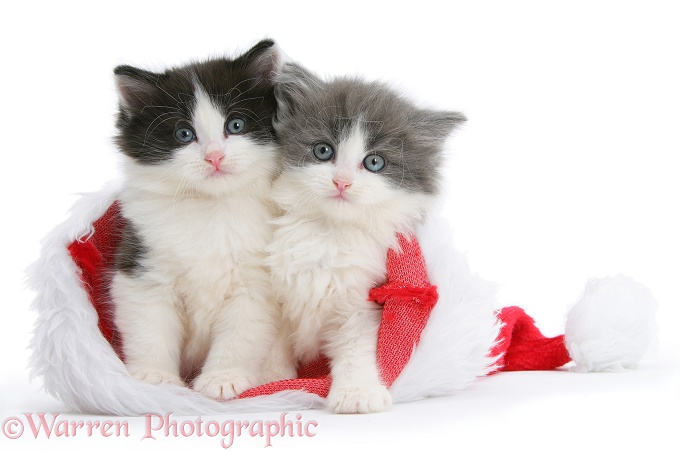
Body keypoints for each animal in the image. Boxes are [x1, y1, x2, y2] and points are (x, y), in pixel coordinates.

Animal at [111, 38, 292, 400]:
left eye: (235, 125)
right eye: (184, 133)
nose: (215, 157)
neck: (212, 208)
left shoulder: (256, 283)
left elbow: (241, 334)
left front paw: (223, 378)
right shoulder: (143, 270)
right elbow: (149, 329)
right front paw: (154, 377)